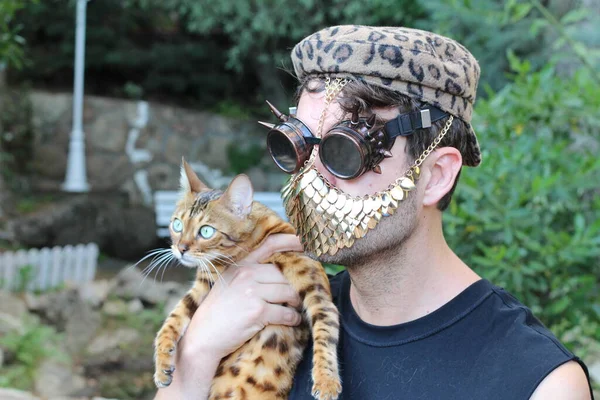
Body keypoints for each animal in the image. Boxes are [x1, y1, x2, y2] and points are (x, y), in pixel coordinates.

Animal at [152, 161, 340, 398]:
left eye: (206, 231)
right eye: (177, 225)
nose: (181, 249)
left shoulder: (313, 283)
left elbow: (326, 326)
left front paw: (326, 380)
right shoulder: (203, 284)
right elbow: (174, 316)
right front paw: (162, 363)